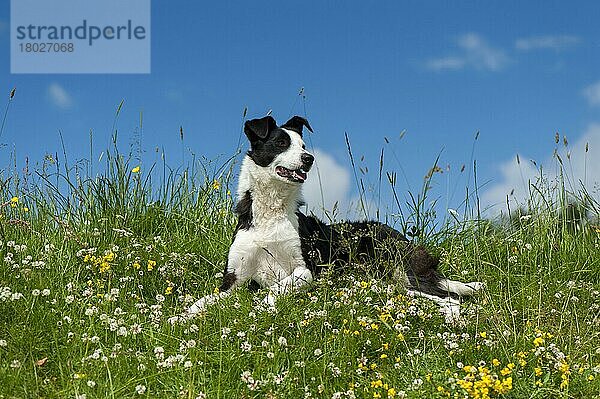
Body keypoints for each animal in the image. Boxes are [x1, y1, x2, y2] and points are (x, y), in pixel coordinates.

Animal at [188, 114, 482, 324]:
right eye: (281, 143)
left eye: (303, 146)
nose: (309, 158)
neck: (272, 212)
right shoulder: (232, 280)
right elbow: (200, 302)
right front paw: (180, 318)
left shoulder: (305, 270)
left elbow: (273, 291)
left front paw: (258, 308)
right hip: (385, 282)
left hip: (398, 273)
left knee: (450, 297)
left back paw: (454, 319)